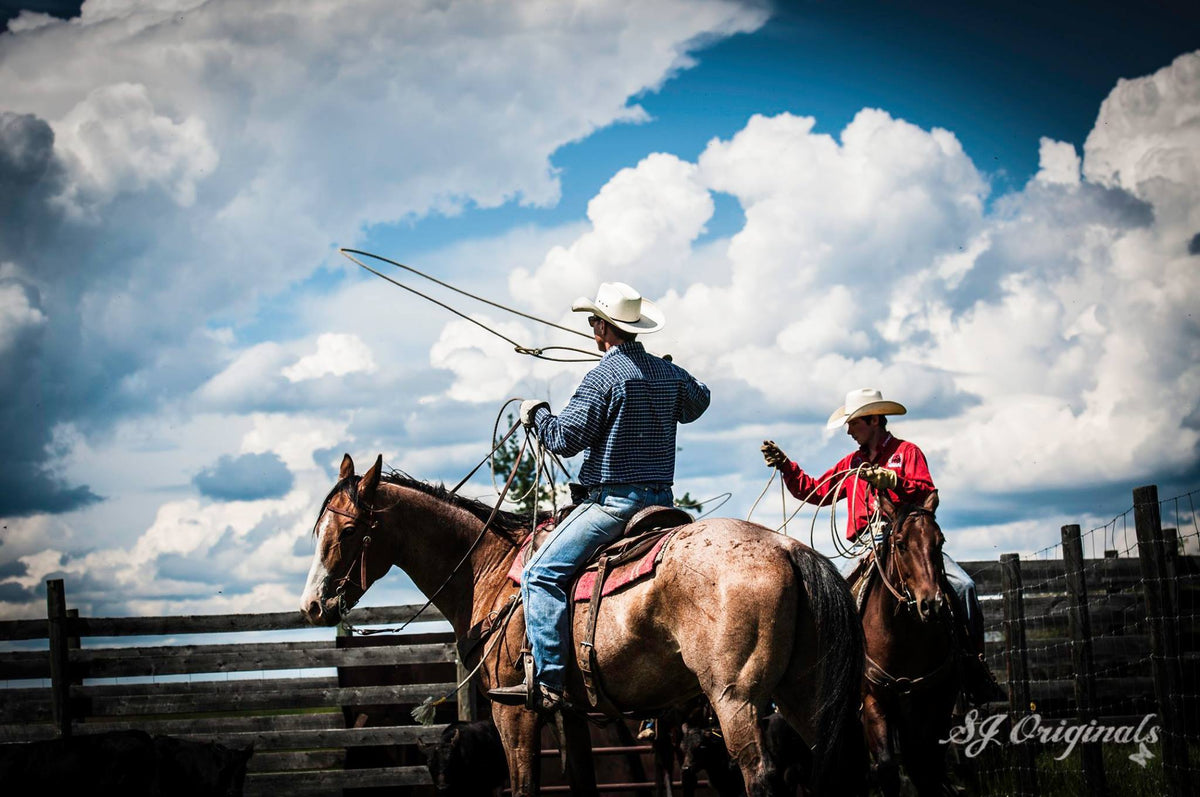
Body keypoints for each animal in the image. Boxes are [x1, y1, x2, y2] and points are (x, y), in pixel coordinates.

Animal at [298, 453, 864, 797]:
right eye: (316, 527)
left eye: (348, 530)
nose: (312, 606)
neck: (489, 568)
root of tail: (788, 548)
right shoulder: (569, 712)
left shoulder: (515, 711)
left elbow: (525, 785)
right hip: (806, 693)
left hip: (735, 698)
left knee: (759, 776)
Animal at [859, 492, 960, 797]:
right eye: (901, 544)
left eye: (940, 542)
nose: (933, 604)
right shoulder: (873, 700)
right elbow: (886, 768)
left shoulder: (936, 701)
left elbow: (926, 767)